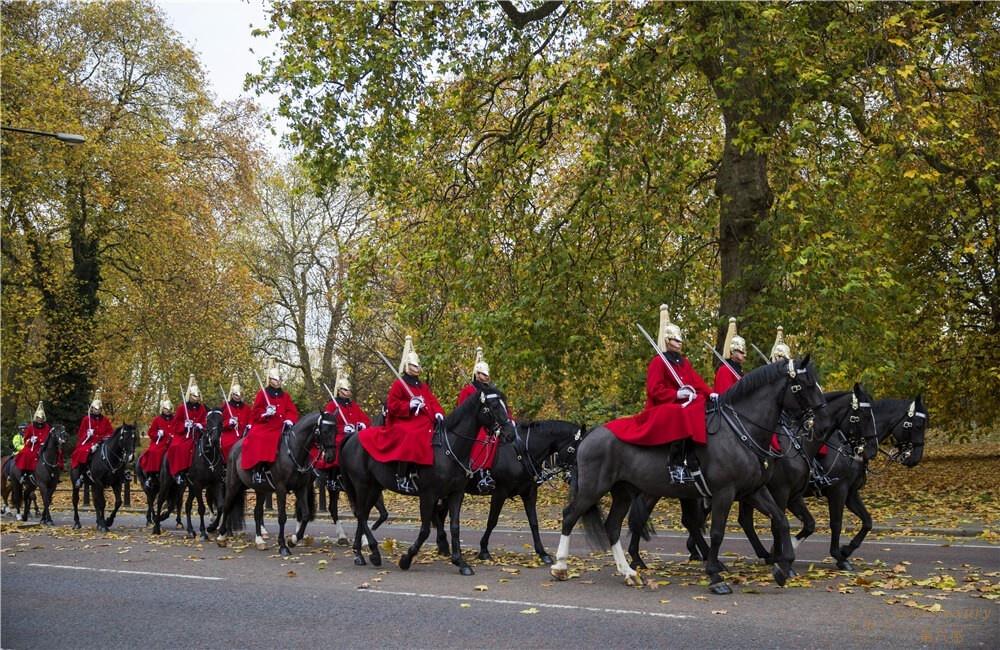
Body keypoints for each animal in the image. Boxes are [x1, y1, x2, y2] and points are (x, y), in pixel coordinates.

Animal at [217, 412, 338, 556]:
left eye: (336, 431)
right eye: (324, 431)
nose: (330, 457)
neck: (294, 452)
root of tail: (235, 446)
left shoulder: (301, 489)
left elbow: (306, 514)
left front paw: (293, 540)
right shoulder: (281, 489)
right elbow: (282, 517)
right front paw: (283, 546)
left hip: (260, 490)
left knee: (257, 512)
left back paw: (259, 540)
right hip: (233, 484)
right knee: (226, 506)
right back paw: (221, 536)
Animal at [342, 384, 516, 572]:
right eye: (494, 406)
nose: (511, 434)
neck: (449, 449)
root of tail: (352, 437)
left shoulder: (456, 493)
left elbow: (455, 527)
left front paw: (460, 562)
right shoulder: (428, 495)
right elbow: (425, 530)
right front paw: (406, 559)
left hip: (374, 487)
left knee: (364, 514)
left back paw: (360, 553)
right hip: (362, 484)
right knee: (361, 513)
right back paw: (372, 552)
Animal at [430, 420, 584, 560]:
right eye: (576, 449)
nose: (578, 477)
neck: (522, 451)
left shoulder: (529, 493)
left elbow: (534, 522)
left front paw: (542, 553)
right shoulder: (500, 493)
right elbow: (492, 521)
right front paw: (484, 550)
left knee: (440, 513)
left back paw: (443, 546)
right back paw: (444, 544)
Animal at [552, 356, 824, 588]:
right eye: (804, 385)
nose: (818, 419)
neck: (742, 431)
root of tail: (590, 435)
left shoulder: (754, 491)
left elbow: (781, 521)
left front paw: (782, 567)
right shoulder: (724, 492)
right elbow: (717, 532)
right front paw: (715, 575)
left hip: (624, 492)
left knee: (613, 526)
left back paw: (629, 572)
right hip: (593, 488)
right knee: (569, 516)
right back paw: (560, 566)